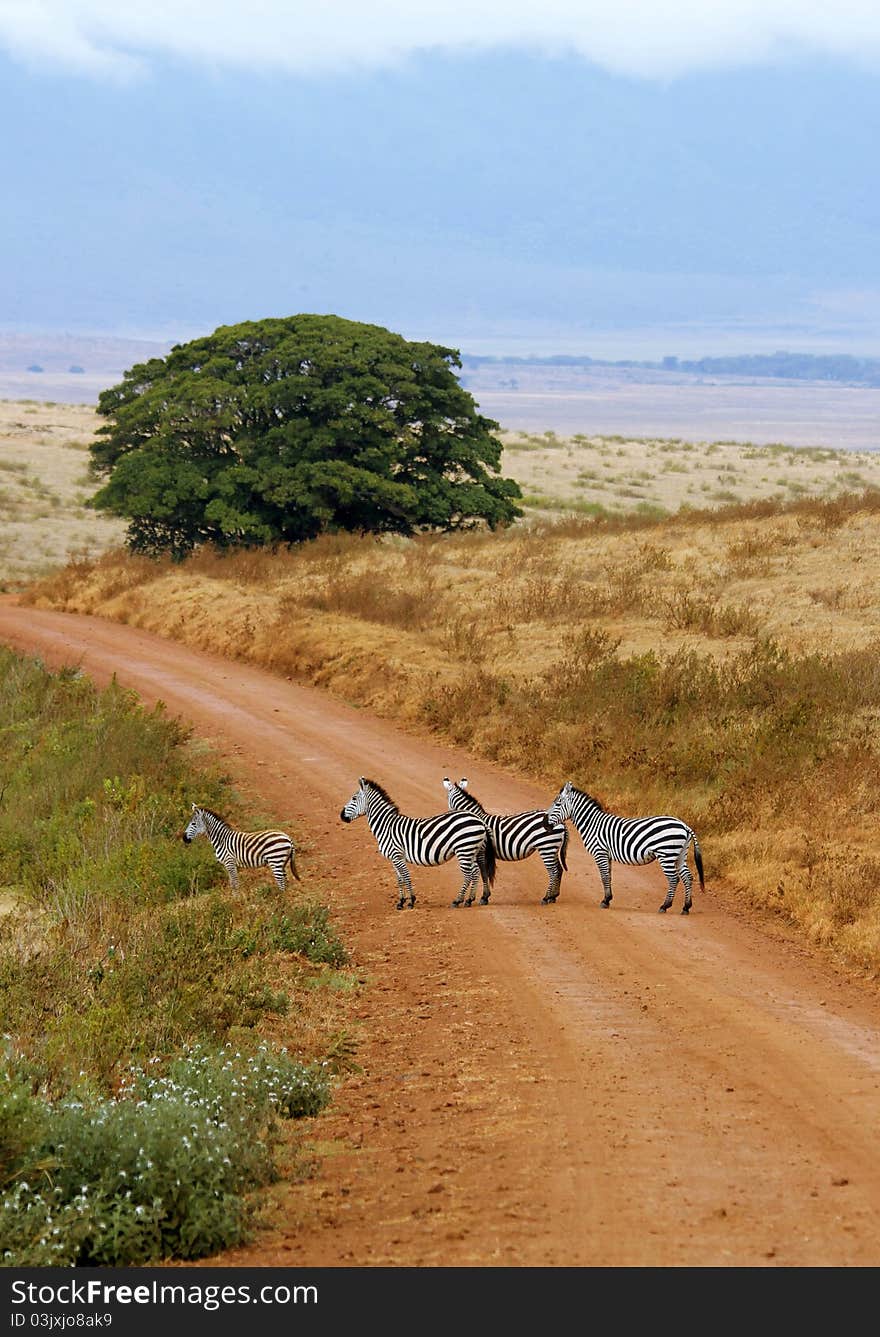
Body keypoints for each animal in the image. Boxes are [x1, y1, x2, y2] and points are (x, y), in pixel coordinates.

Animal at [339, 780, 497, 914]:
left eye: (354, 798)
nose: (341, 816)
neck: (386, 826)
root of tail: (478, 819)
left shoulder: (397, 855)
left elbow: (406, 876)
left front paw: (411, 902)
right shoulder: (394, 858)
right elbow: (400, 879)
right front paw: (401, 902)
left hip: (464, 849)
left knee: (469, 873)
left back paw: (457, 901)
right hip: (472, 850)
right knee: (476, 871)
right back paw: (469, 900)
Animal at [438, 775, 569, 909]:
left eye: (447, 798)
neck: (477, 820)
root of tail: (562, 822)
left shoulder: (481, 851)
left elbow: (483, 872)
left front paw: (483, 897)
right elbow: (483, 872)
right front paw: (483, 897)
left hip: (546, 847)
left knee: (553, 871)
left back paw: (546, 897)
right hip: (553, 848)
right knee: (559, 869)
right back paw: (553, 896)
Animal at [545, 780, 700, 914]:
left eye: (557, 804)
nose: (545, 824)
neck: (592, 824)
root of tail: (684, 825)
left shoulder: (599, 852)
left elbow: (604, 877)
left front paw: (605, 901)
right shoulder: (606, 854)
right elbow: (608, 876)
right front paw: (608, 899)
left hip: (666, 854)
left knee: (674, 879)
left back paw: (665, 906)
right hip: (680, 855)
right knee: (687, 877)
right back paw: (686, 907)